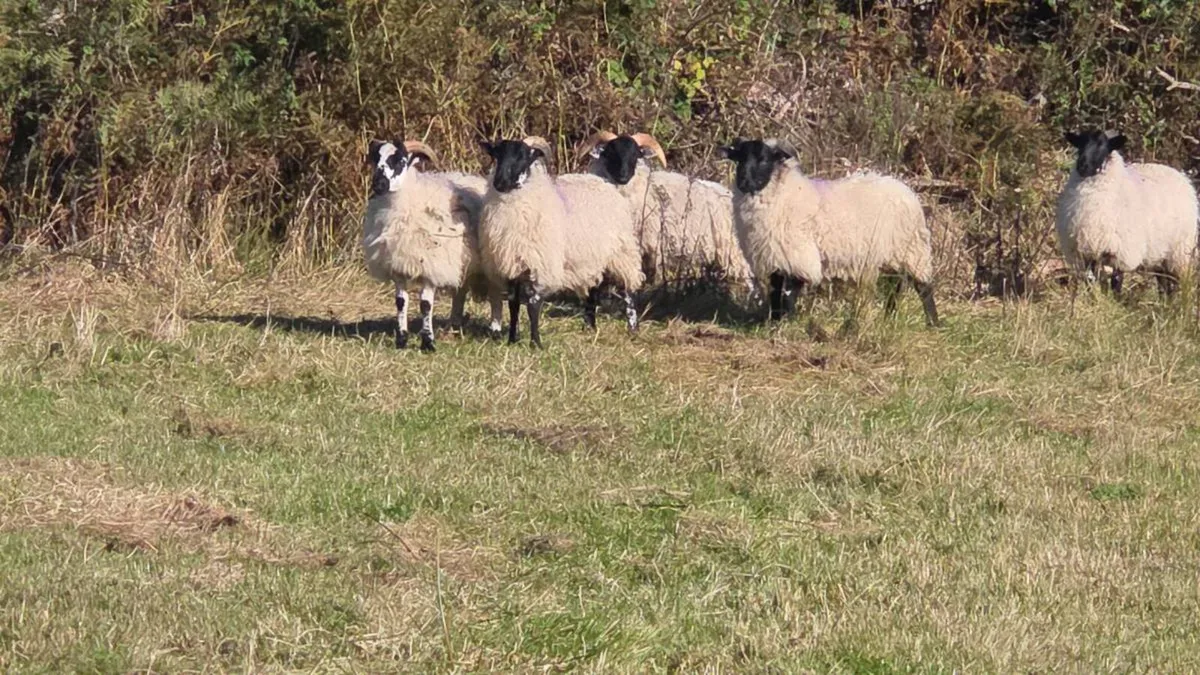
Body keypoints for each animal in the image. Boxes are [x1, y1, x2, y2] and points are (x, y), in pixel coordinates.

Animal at [363, 139, 504, 352]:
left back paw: (495, 329)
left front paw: (427, 341)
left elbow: (425, 305)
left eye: (401, 161)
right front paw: (401, 339)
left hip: (491, 262)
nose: (378, 184)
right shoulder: (398, 266)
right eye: (376, 159)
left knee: (495, 293)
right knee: (460, 292)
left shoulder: (430, 267)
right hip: (461, 263)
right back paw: (454, 326)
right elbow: (400, 302)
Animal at [477, 136, 644, 347]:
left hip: (622, 251)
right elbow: (513, 305)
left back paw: (633, 328)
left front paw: (536, 343)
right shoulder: (511, 264)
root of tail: (606, 182)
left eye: (523, 157)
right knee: (594, 288)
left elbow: (533, 305)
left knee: (629, 289)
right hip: (594, 255)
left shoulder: (542, 266)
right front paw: (512, 339)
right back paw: (590, 327)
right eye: (497, 155)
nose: (500, 182)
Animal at [718, 138, 939, 326]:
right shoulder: (775, 256)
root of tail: (904, 188)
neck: (783, 194)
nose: (743, 182)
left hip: (913, 249)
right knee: (896, 285)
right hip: (893, 254)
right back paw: (888, 318)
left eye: (764, 159)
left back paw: (933, 323)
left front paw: (786, 322)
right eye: (739, 158)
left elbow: (789, 293)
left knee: (923, 287)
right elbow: (775, 292)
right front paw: (774, 321)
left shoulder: (799, 257)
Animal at [1056, 129, 1198, 295]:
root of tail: (1181, 176)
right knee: (1163, 282)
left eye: (1103, 146)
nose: (1083, 166)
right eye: (1080, 144)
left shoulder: (1121, 253)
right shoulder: (1086, 252)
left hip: (1180, 251)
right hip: (1160, 253)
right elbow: (1091, 283)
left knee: (1177, 281)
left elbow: (1116, 283)